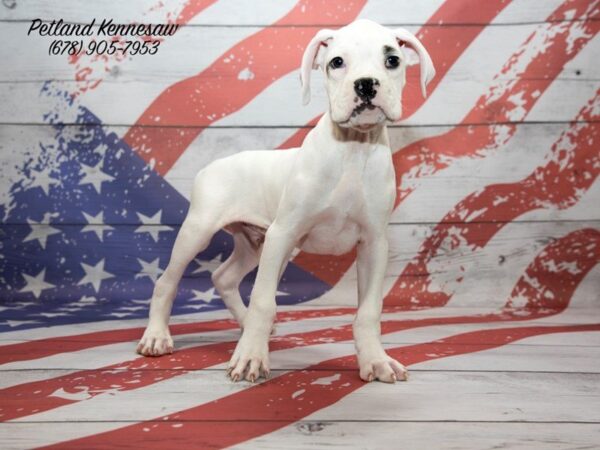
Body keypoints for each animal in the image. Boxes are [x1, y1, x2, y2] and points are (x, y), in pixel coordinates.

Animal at [138, 18, 434, 384]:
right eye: (336, 62)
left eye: (392, 60)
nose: (366, 85)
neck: (353, 150)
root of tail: (211, 166)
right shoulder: (284, 232)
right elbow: (264, 300)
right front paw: (250, 357)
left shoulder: (373, 244)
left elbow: (369, 311)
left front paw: (376, 361)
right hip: (202, 232)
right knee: (167, 281)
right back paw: (157, 336)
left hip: (255, 244)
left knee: (224, 277)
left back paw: (246, 325)